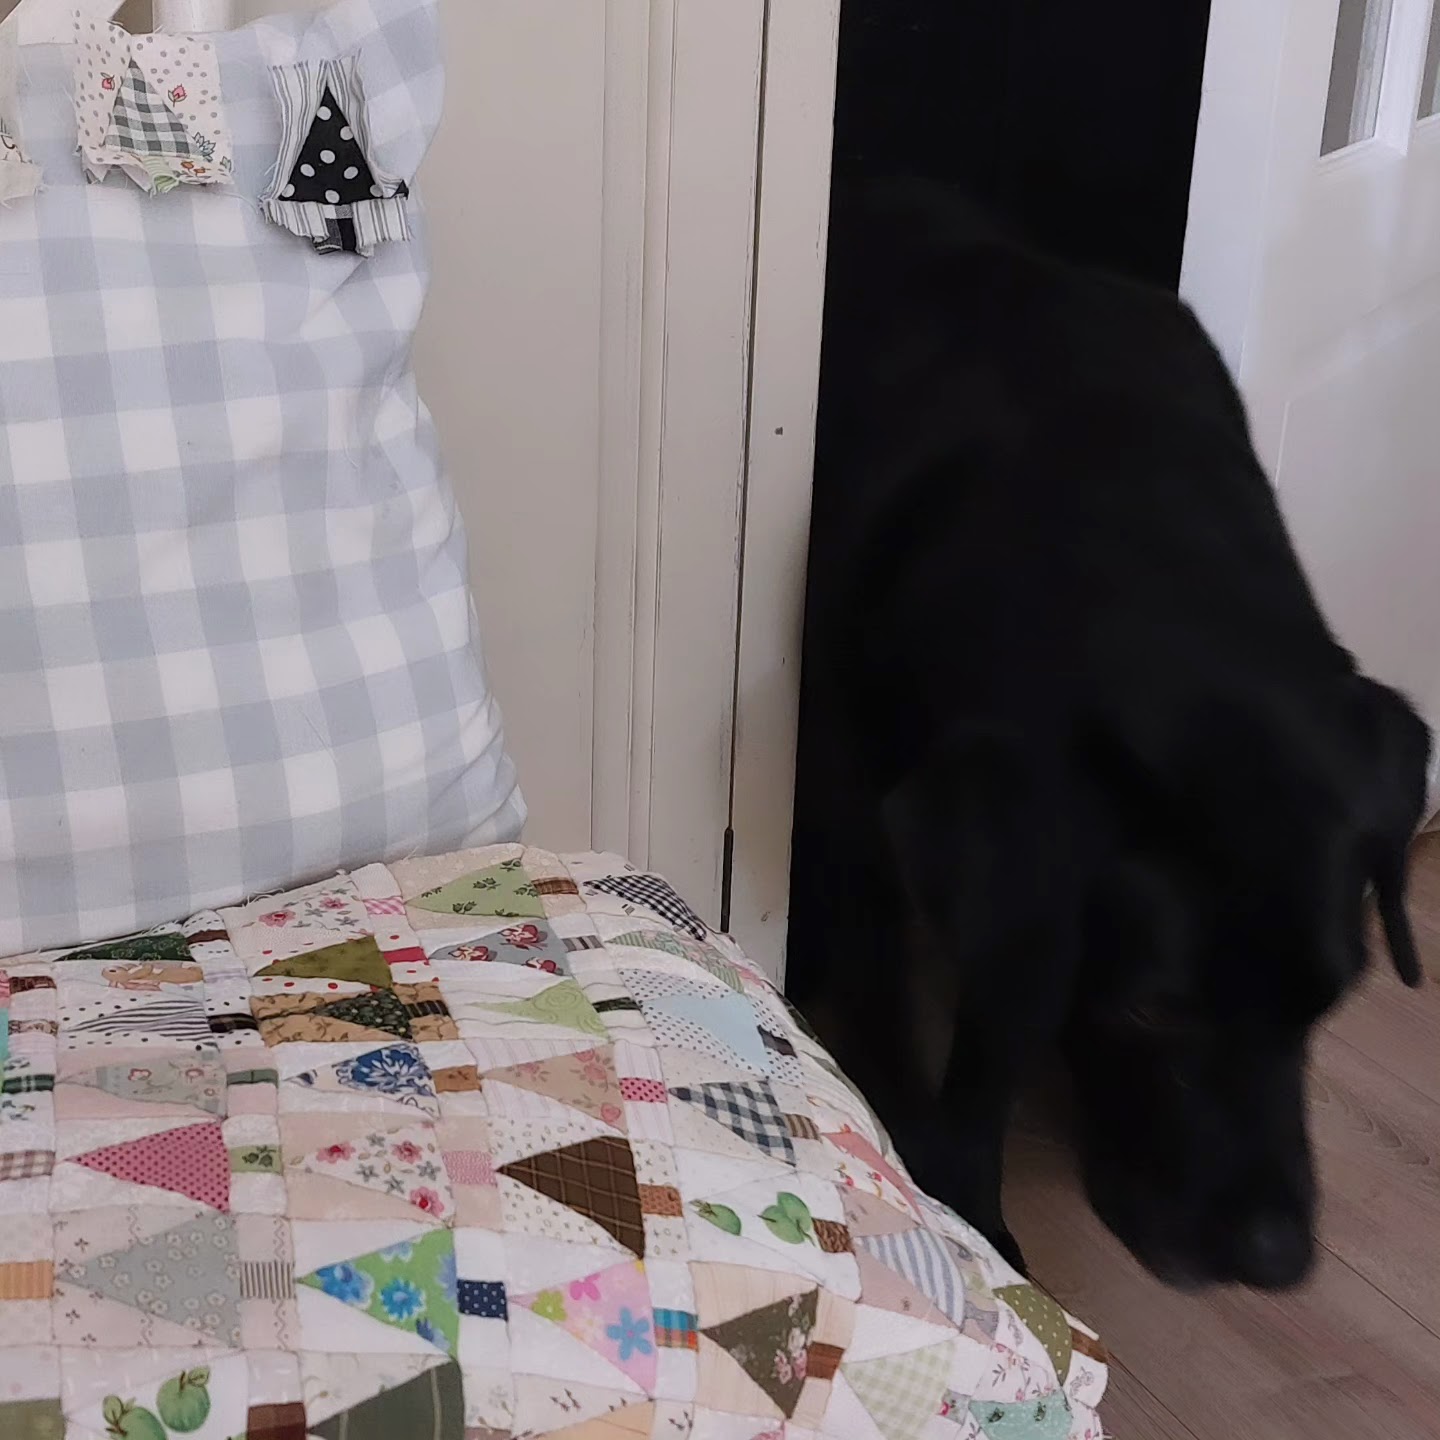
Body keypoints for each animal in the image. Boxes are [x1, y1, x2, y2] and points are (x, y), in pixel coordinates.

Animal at [787, 178, 1432, 1289]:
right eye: (1152, 1012)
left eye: (1330, 1001)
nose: (1276, 1259)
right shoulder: (857, 787)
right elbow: (941, 1018)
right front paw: (959, 1207)